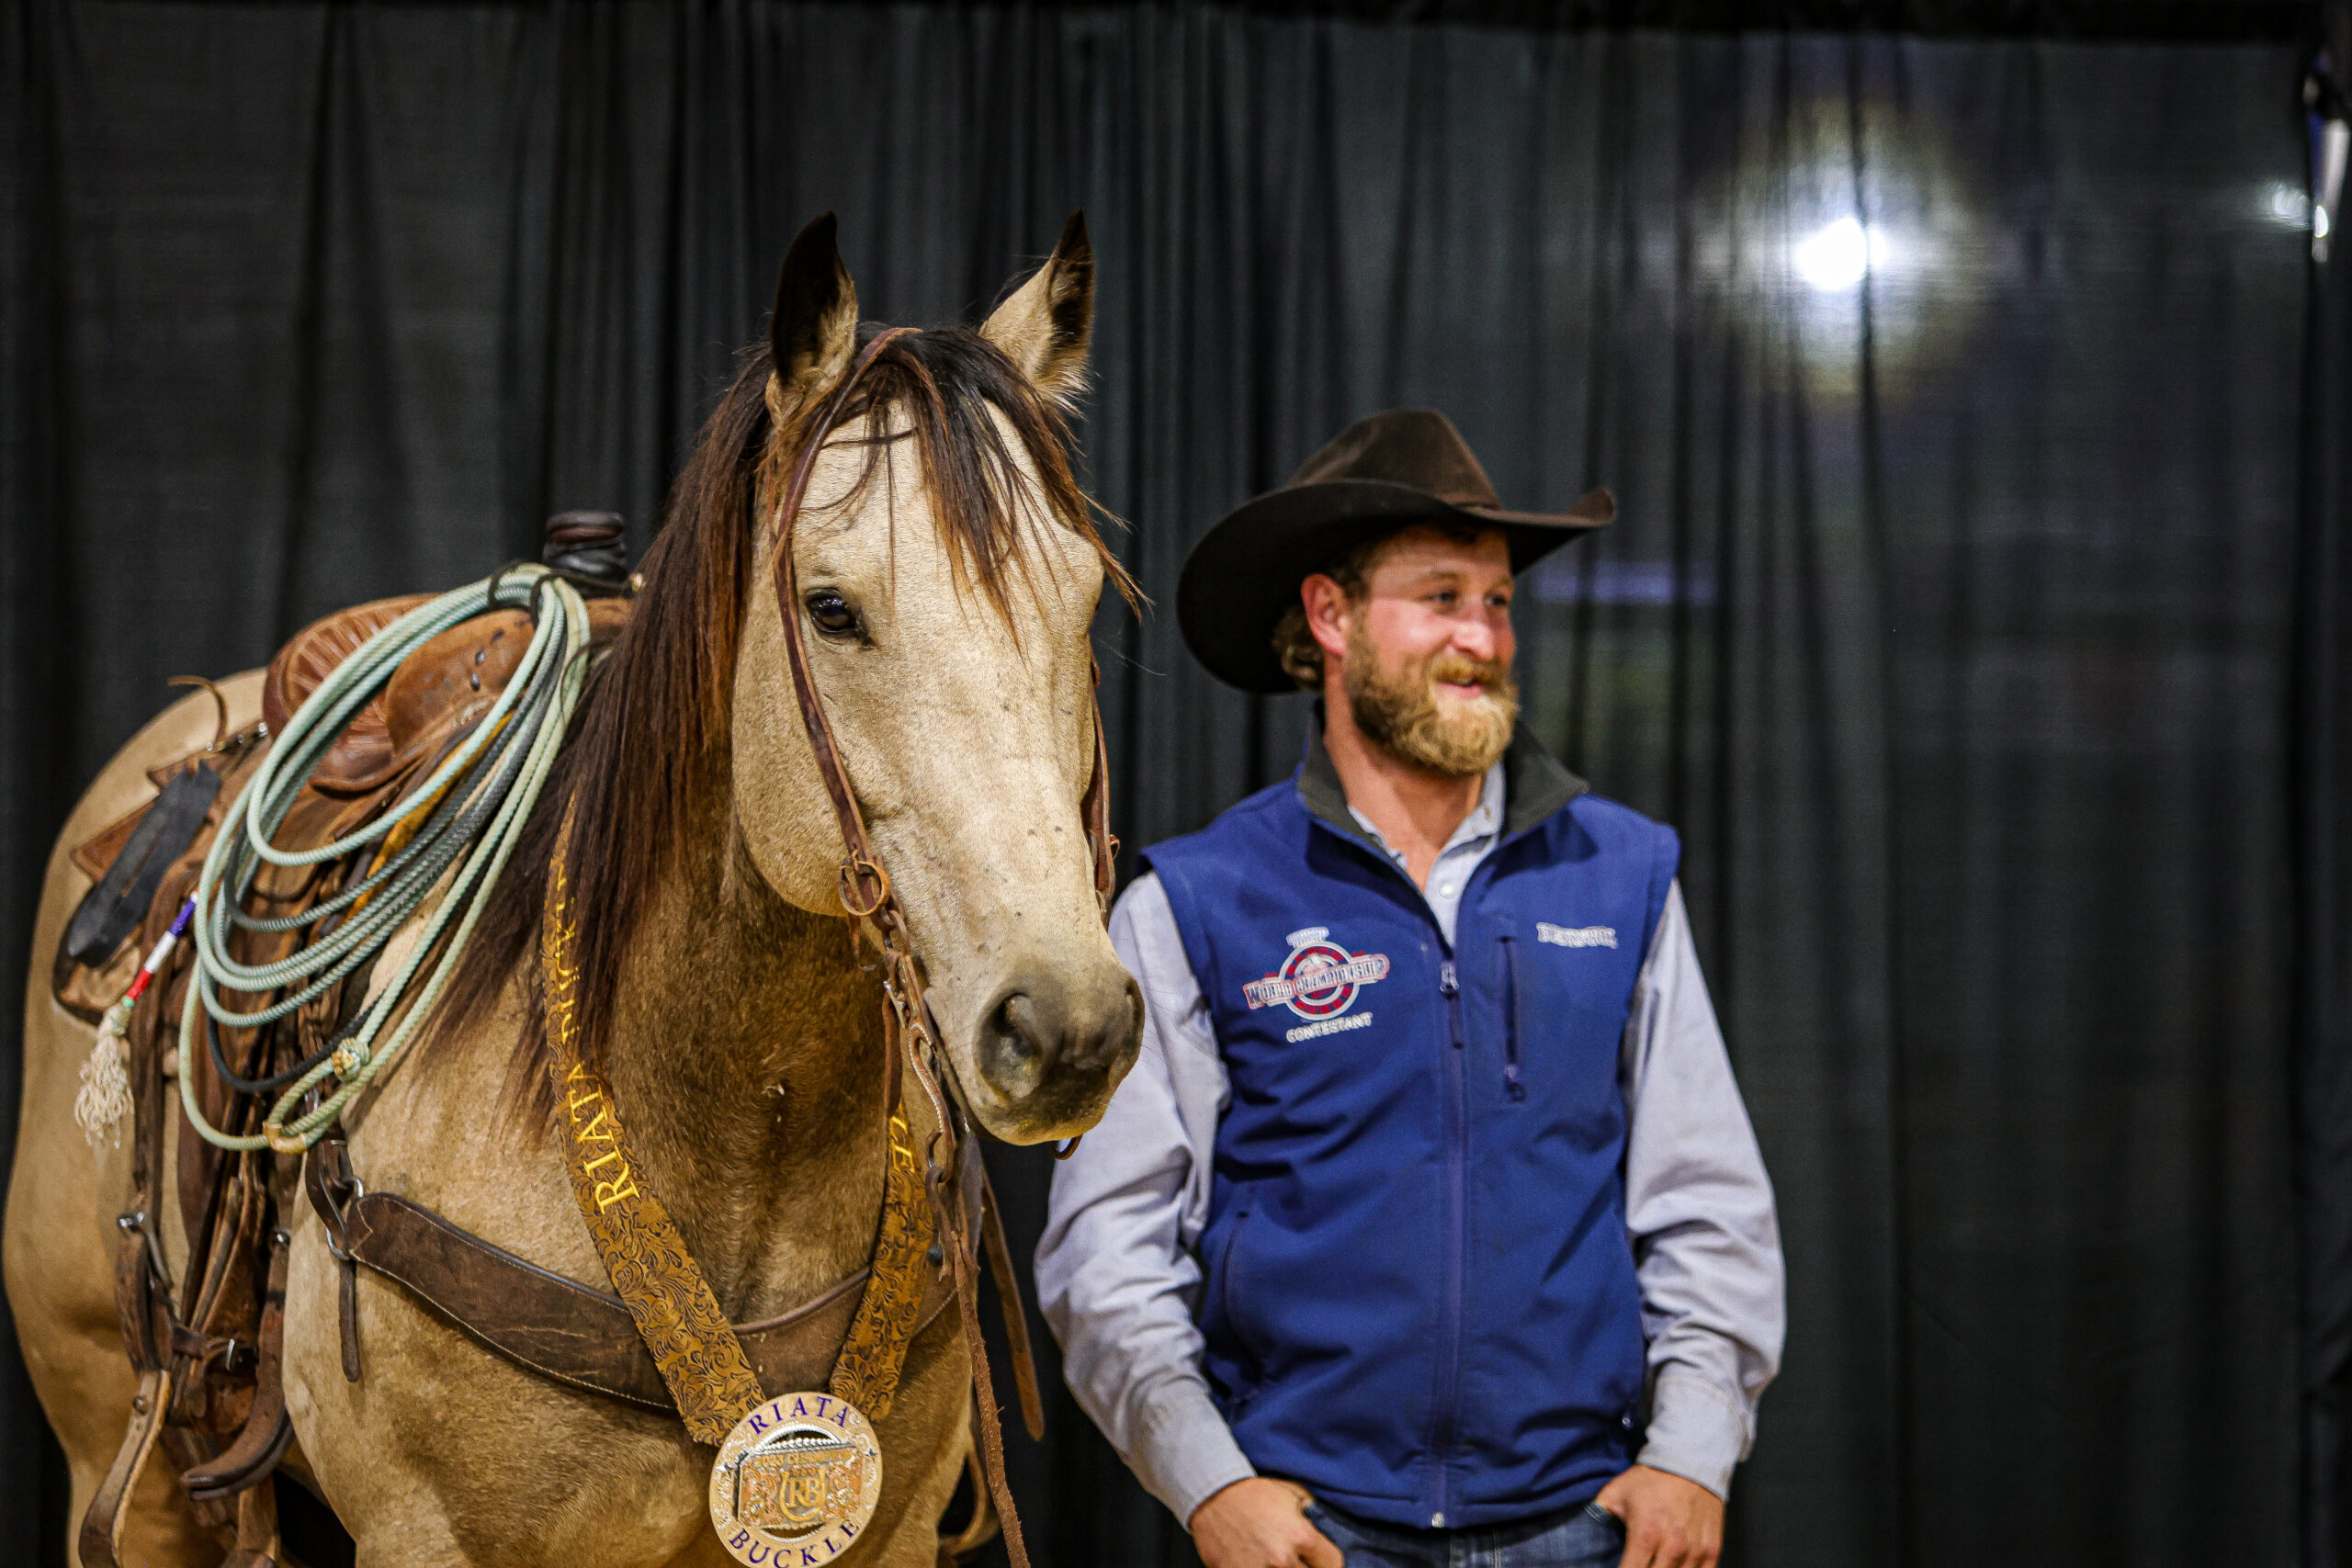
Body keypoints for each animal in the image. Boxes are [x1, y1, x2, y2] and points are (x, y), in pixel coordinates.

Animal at [0, 211, 1138, 1568]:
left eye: (1081, 602)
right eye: (830, 607)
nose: (1064, 1023)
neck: (729, 1128)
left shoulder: (893, 1529)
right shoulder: (425, 1534)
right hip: (120, 1463)